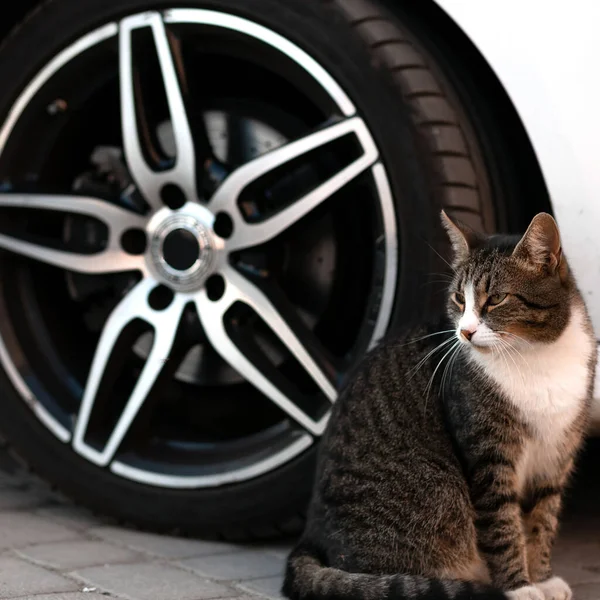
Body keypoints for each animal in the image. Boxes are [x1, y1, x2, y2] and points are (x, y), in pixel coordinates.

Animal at [284, 211, 596, 600]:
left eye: (496, 298)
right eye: (459, 300)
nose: (465, 332)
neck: (535, 355)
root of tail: (310, 537)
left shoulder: (556, 456)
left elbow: (543, 521)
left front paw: (541, 577)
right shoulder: (488, 458)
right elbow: (503, 527)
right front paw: (519, 587)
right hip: (436, 497)